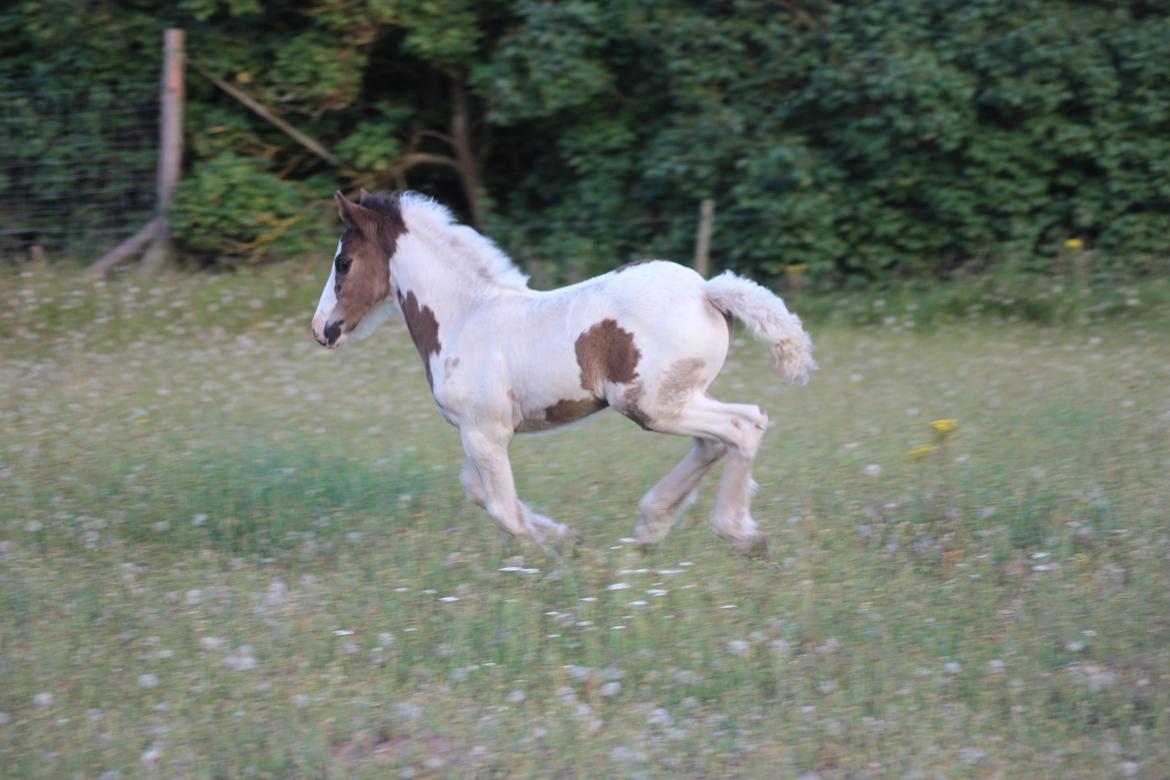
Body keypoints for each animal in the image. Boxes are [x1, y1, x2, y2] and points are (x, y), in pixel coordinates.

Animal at [315, 189, 819, 554]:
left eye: (343, 262)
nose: (322, 329)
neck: (466, 316)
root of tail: (707, 290)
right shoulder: (481, 431)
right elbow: (478, 491)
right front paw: (567, 538)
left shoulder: (484, 432)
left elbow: (501, 509)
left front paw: (552, 559)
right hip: (679, 396)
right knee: (716, 439)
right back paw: (653, 525)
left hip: (650, 405)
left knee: (742, 425)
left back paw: (740, 534)